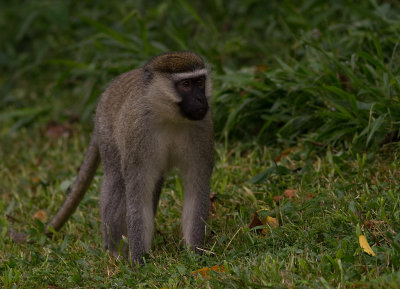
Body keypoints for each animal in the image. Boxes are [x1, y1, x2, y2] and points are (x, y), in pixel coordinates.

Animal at [10, 51, 214, 264]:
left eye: (200, 82)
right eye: (186, 85)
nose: (201, 99)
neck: (169, 117)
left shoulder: (203, 128)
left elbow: (195, 191)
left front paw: (195, 256)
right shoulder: (137, 134)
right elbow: (137, 195)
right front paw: (139, 262)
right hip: (106, 132)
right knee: (116, 181)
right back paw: (115, 249)